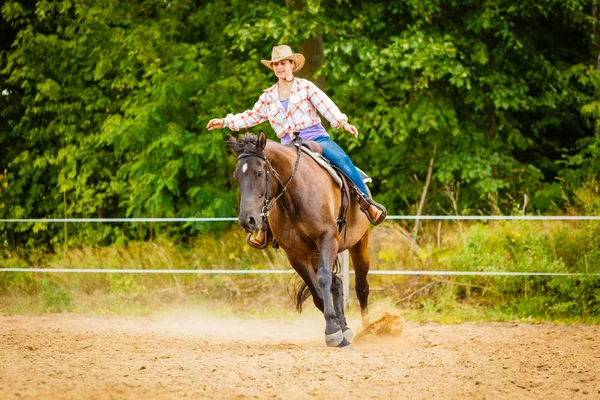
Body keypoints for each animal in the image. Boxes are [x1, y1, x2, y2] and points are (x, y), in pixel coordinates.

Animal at [229, 131, 370, 346]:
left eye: (259, 172)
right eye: (236, 176)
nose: (247, 220)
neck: (295, 198)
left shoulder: (328, 238)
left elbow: (324, 278)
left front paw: (333, 330)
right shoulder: (295, 254)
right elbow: (317, 291)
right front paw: (334, 330)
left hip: (359, 242)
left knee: (361, 286)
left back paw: (373, 329)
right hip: (316, 254)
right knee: (337, 283)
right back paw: (344, 327)